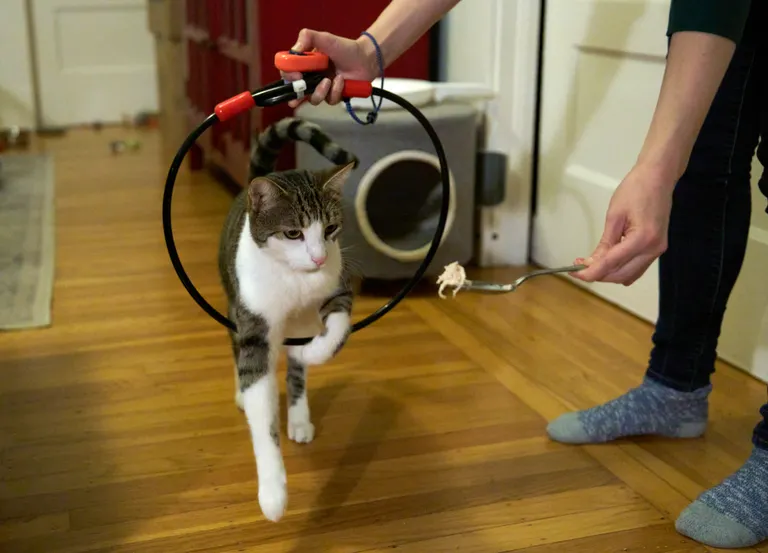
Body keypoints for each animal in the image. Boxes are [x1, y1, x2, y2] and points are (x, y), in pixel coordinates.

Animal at [218, 114, 358, 520]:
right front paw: (273, 493)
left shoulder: (339, 290)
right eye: (293, 233)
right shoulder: (253, 323)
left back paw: (298, 418)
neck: (295, 279)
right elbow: (260, 406)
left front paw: (310, 351)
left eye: (330, 229)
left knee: (297, 374)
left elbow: (335, 332)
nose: (318, 257)